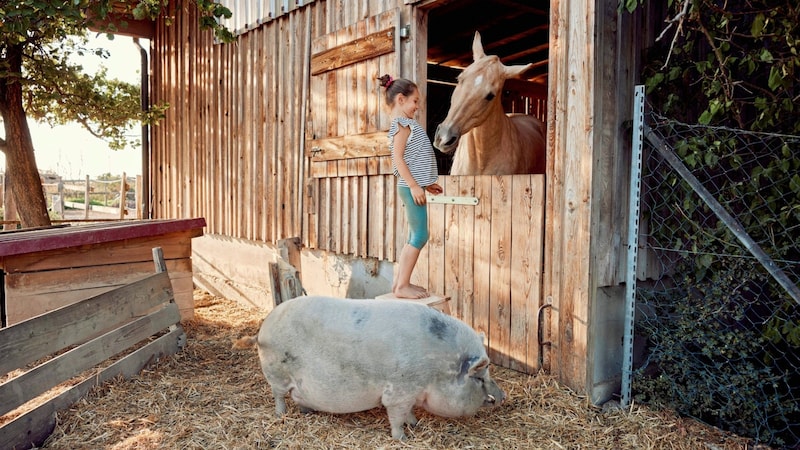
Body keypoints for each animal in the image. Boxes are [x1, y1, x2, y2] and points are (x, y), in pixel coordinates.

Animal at [234, 296, 504, 440]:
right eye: (479, 378)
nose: (501, 396)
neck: (437, 368)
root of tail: (262, 331)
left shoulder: (410, 394)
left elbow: (408, 413)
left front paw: (416, 424)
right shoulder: (399, 392)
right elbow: (396, 416)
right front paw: (402, 437)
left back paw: (306, 411)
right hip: (276, 372)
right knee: (279, 395)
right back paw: (281, 415)